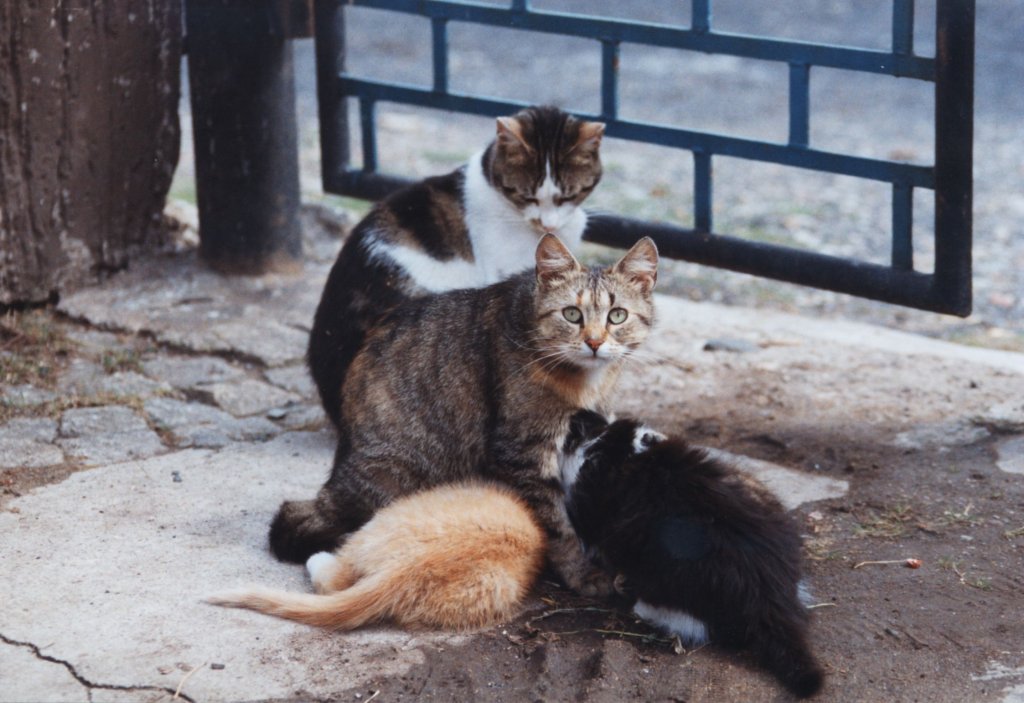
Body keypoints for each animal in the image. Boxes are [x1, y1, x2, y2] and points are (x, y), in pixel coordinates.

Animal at [272, 235, 655, 593]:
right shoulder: (522, 451)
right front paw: (581, 572)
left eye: (617, 315)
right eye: (572, 314)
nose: (594, 343)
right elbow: (558, 522)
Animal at [561, 413, 823, 699]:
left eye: (589, 456)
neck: (632, 461)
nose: (579, 418)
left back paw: (641, 607)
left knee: (697, 624)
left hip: (668, 580)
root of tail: (769, 598)